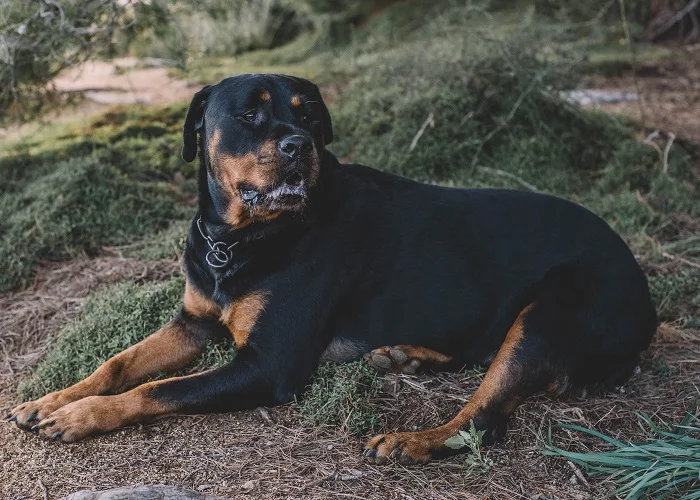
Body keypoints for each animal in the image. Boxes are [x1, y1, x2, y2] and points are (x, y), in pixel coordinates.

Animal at [9, 73, 656, 464]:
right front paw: (52, 399)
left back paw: (411, 439)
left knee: (485, 416)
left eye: (308, 116)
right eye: (250, 116)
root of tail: (647, 302)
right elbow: (119, 364)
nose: (298, 145)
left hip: (551, 309)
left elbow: (158, 388)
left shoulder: (267, 365)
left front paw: (82, 415)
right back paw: (405, 355)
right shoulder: (192, 323)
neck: (240, 240)